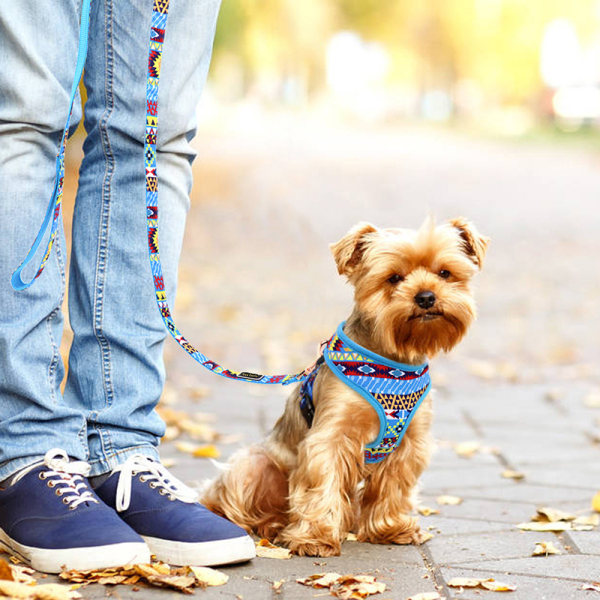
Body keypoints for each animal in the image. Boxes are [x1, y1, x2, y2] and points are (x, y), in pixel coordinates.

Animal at [202, 217, 488, 556]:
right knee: (231, 501)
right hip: (252, 465)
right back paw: (265, 525)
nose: (426, 296)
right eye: (394, 278)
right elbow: (321, 483)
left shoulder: (410, 443)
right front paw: (314, 538)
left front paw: (390, 528)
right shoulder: (331, 438)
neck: (392, 361)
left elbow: (392, 487)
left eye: (445, 273)